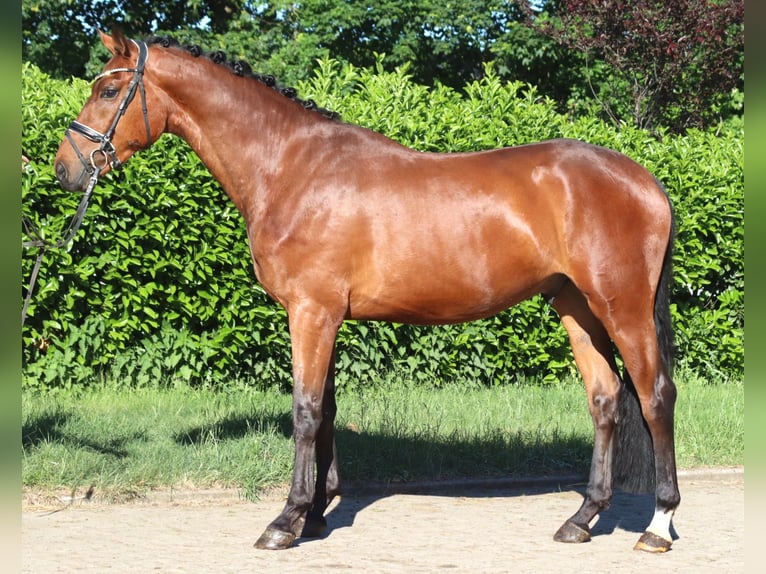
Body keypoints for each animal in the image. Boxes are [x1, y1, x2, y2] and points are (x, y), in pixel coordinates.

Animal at [54, 29, 680, 553]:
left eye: (108, 89)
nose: (65, 168)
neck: (290, 168)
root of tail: (645, 181)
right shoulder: (324, 314)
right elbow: (327, 410)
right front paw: (316, 514)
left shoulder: (311, 312)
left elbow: (305, 411)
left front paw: (286, 521)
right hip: (575, 307)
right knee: (605, 400)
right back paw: (582, 519)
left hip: (621, 308)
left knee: (654, 397)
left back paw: (658, 524)